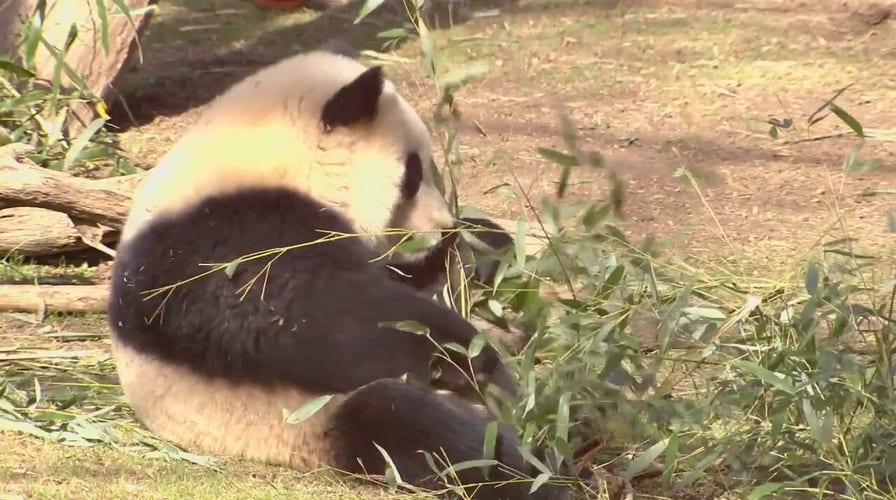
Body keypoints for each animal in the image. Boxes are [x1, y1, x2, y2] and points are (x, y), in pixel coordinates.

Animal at [108, 47, 572, 500]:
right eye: (413, 173)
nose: (442, 230)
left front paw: (485, 250)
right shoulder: (222, 236)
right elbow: (301, 314)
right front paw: (468, 354)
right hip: (301, 422)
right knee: (415, 428)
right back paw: (544, 467)